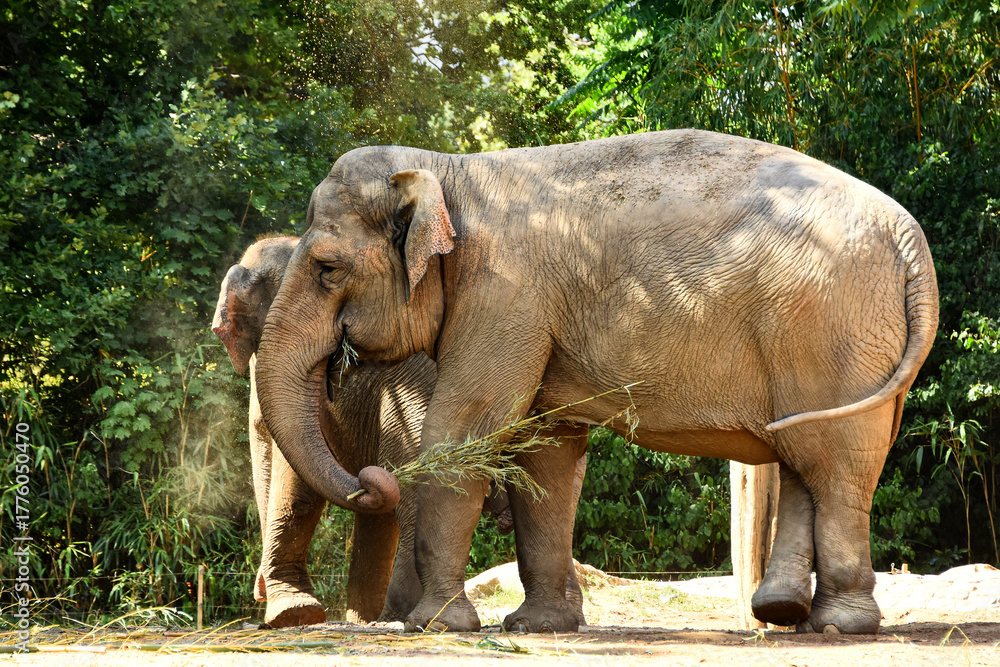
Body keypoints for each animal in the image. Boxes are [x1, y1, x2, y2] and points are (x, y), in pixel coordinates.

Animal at [253, 129, 938, 635]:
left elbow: (471, 426)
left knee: (836, 462)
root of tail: (911, 238)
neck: (448, 171)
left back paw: (842, 625)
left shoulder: (506, 294)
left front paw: (440, 626)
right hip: (852, 344)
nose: (373, 479)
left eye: (326, 268)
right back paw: (787, 614)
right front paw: (537, 627)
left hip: (834, 328)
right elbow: (548, 451)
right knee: (804, 455)